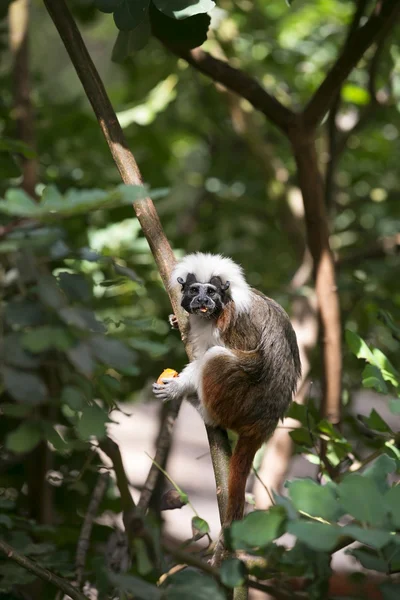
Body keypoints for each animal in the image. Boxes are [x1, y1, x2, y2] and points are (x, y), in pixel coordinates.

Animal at [153, 253, 300, 524]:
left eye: (211, 291)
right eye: (194, 290)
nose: (202, 301)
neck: (209, 316)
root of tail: (265, 423)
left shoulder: (235, 321)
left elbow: (243, 356)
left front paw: (177, 387)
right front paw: (176, 319)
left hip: (242, 402)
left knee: (219, 358)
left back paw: (205, 411)